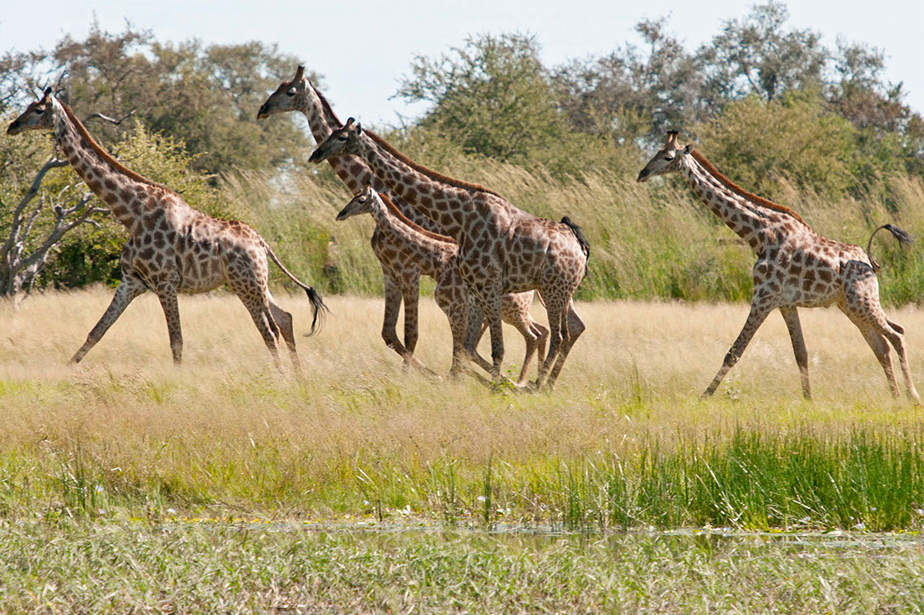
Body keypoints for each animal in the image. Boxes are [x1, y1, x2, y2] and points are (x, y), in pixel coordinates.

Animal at [7, 88, 328, 365]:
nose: (12, 125)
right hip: (258, 282)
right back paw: (298, 378)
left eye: (37, 110)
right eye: (27, 106)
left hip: (245, 284)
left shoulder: (165, 281)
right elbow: (96, 331)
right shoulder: (131, 281)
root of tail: (261, 242)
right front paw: (67, 370)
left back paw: (281, 377)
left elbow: (176, 341)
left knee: (269, 329)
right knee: (284, 319)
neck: (131, 214)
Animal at [257, 65, 442, 372]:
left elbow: (410, 334)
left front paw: (428, 375)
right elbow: (391, 334)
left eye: (290, 91)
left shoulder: (409, 271)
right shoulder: (390, 271)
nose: (263, 109)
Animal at [339, 186, 548, 385]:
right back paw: (528, 382)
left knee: (534, 336)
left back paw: (522, 383)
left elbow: (457, 350)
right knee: (540, 332)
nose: (341, 214)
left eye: (361, 200)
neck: (437, 261)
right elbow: (463, 350)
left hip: (513, 312)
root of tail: (532, 288)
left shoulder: (455, 309)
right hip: (510, 313)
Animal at [637, 131, 920, 401]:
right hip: (850, 305)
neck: (760, 234)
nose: (642, 173)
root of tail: (869, 262)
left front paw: (704, 397)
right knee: (882, 345)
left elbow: (734, 351)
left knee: (897, 335)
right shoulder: (785, 303)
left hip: (862, 301)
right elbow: (801, 352)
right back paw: (895, 397)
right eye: (657, 152)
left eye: (668, 157)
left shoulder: (764, 296)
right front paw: (808, 400)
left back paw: (912, 397)